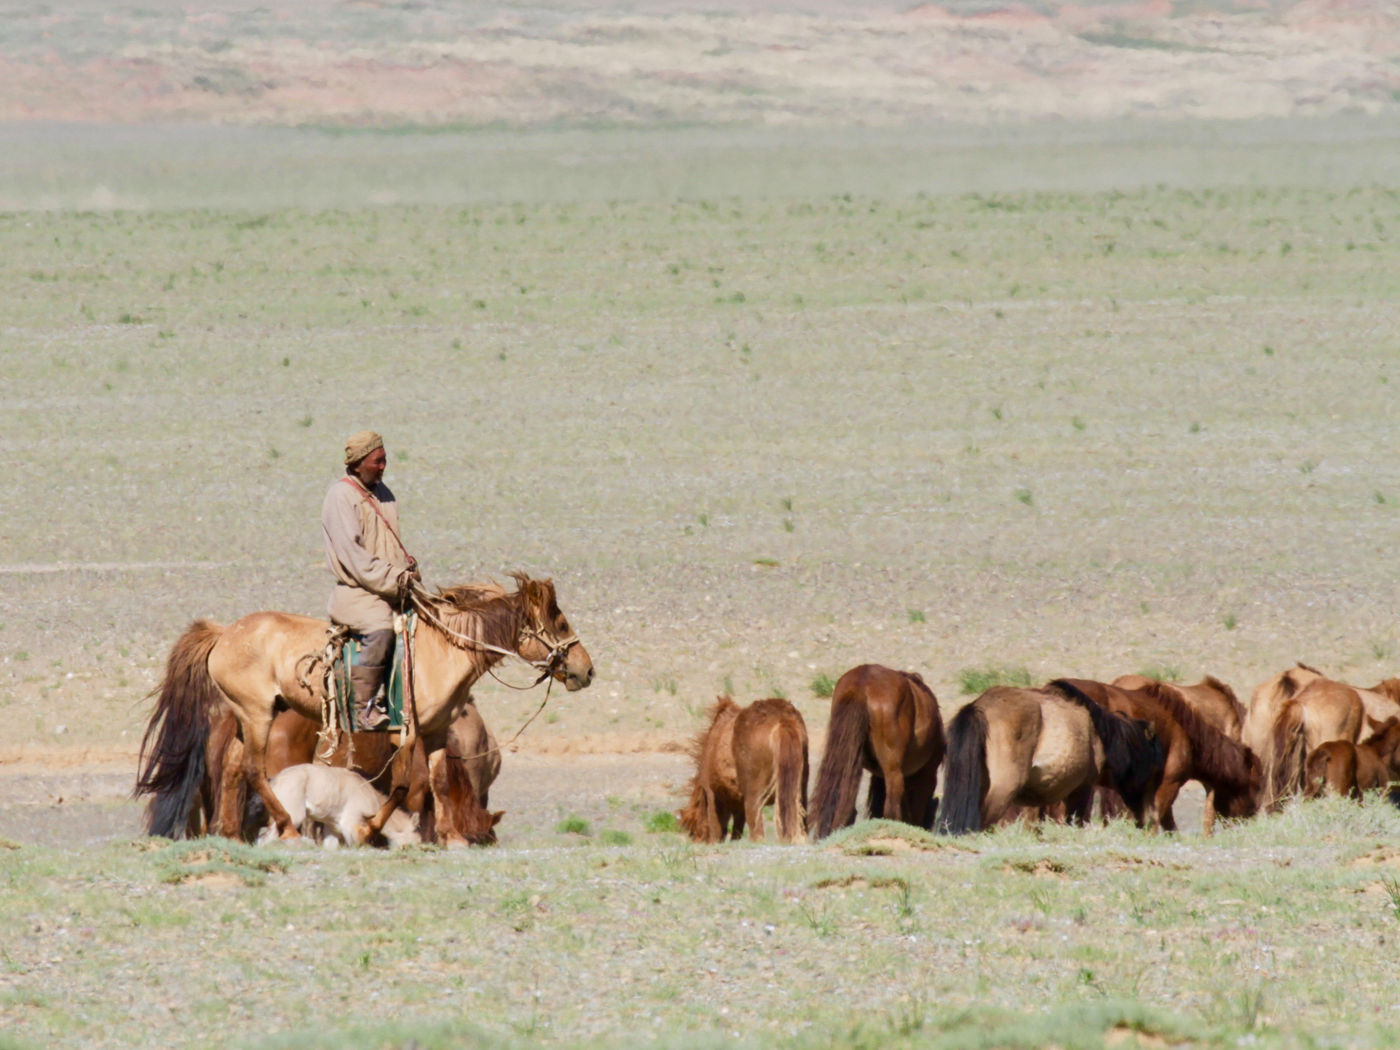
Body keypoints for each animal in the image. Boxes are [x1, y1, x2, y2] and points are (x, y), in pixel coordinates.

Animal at [133, 571, 588, 845]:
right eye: (561, 624)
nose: (586, 670)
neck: (442, 651)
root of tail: (224, 632)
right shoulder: (404, 732)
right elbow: (401, 786)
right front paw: (371, 829)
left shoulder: (437, 731)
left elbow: (439, 783)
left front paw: (451, 837)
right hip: (257, 714)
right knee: (252, 770)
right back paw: (286, 829)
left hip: (248, 718)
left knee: (230, 769)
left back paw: (231, 834)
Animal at [929, 683, 1159, 840]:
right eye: (1148, 764)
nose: (1143, 818)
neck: (1098, 732)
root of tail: (980, 707)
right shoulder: (1082, 789)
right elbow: (1074, 821)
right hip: (1003, 789)